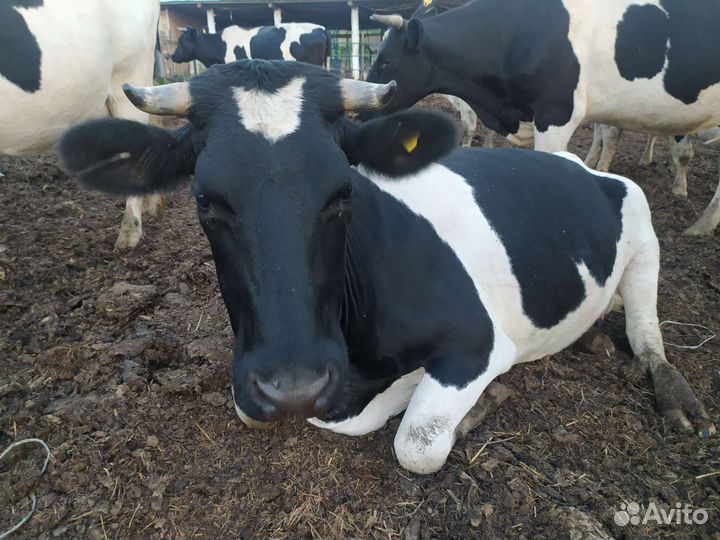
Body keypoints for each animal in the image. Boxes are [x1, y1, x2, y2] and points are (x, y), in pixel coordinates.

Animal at [58, 61, 715, 474]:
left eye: (344, 190)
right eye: (204, 200)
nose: (294, 386)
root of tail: (575, 165)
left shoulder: (479, 341)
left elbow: (415, 445)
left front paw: (464, 406)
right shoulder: (256, 384)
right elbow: (307, 411)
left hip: (643, 226)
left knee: (648, 335)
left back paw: (676, 396)